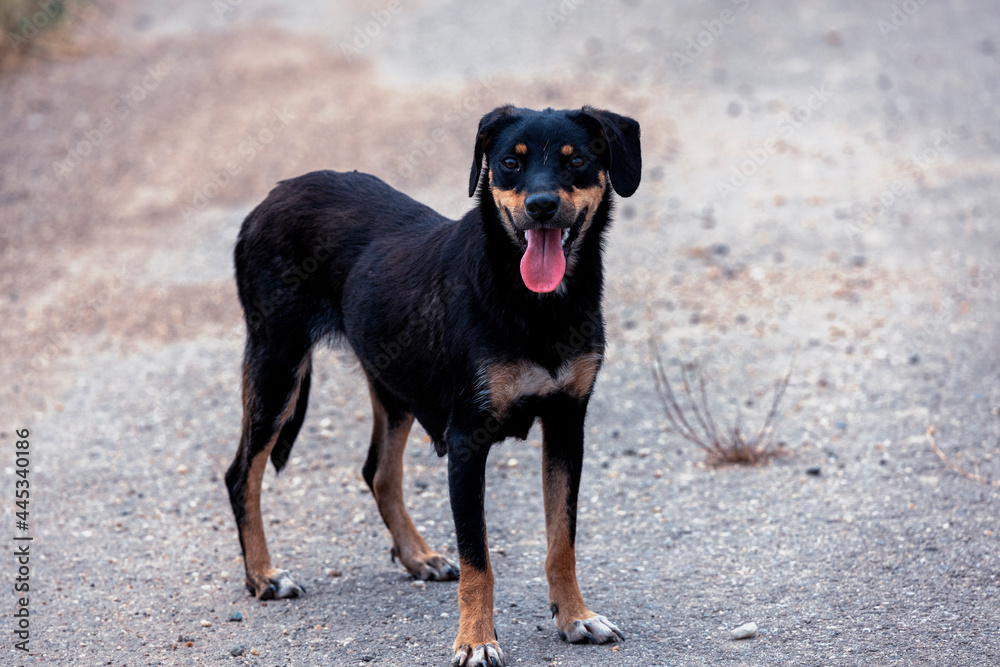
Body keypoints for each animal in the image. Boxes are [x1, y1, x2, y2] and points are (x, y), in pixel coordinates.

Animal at [225, 105, 640, 667]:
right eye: (510, 163)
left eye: (576, 162)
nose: (541, 206)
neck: (536, 305)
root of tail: (269, 199)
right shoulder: (467, 440)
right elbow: (479, 559)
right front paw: (477, 641)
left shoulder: (566, 426)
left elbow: (562, 541)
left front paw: (575, 617)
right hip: (277, 365)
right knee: (241, 473)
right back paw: (264, 577)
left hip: (393, 379)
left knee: (378, 472)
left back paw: (417, 556)